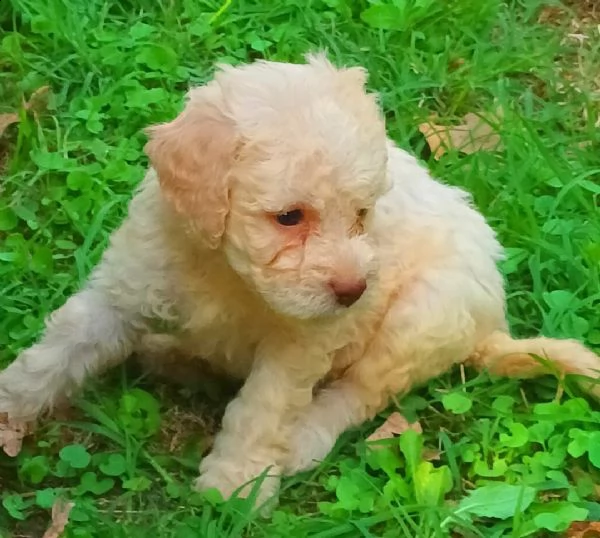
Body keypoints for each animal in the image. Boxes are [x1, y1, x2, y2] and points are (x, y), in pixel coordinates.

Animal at [1, 53, 600, 502]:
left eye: (362, 214)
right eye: (289, 217)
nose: (354, 291)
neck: (227, 272)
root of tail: (491, 328)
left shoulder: (302, 344)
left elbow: (262, 408)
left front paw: (235, 486)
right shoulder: (124, 286)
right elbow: (55, 353)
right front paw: (10, 405)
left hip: (426, 312)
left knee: (359, 392)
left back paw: (302, 439)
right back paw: (167, 352)